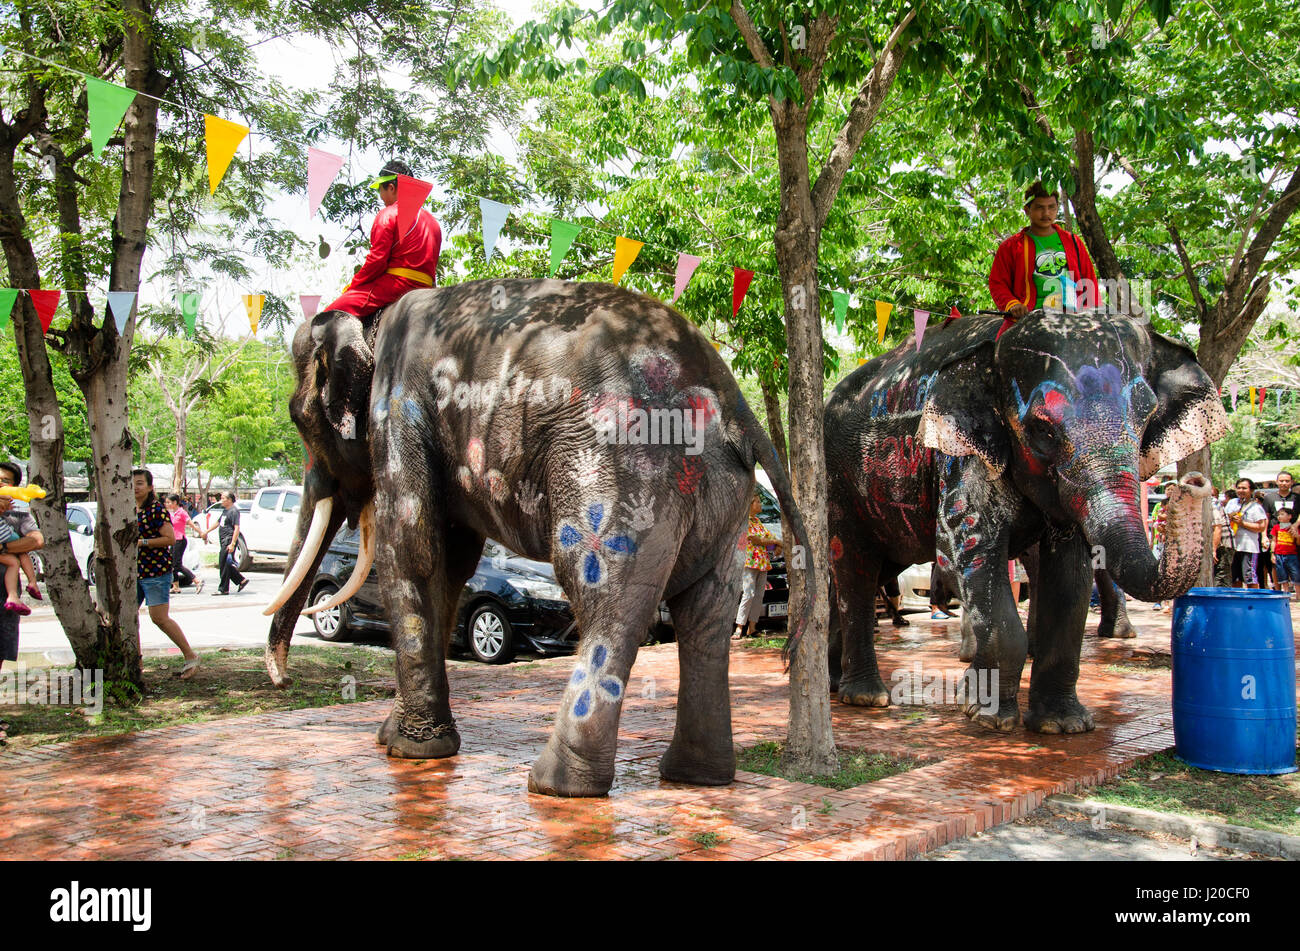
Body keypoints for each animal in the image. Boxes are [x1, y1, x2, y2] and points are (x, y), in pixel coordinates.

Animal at [261, 276, 811, 795]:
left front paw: (409, 750)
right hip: (724, 499)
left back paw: (554, 785)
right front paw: (399, 738)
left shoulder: (399, 411)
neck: (371, 321)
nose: (281, 680)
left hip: (618, 472)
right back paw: (696, 776)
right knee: (705, 615)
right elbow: (452, 562)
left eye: (297, 417)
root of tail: (735, 406)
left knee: (608, 602)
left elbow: (414, 548)